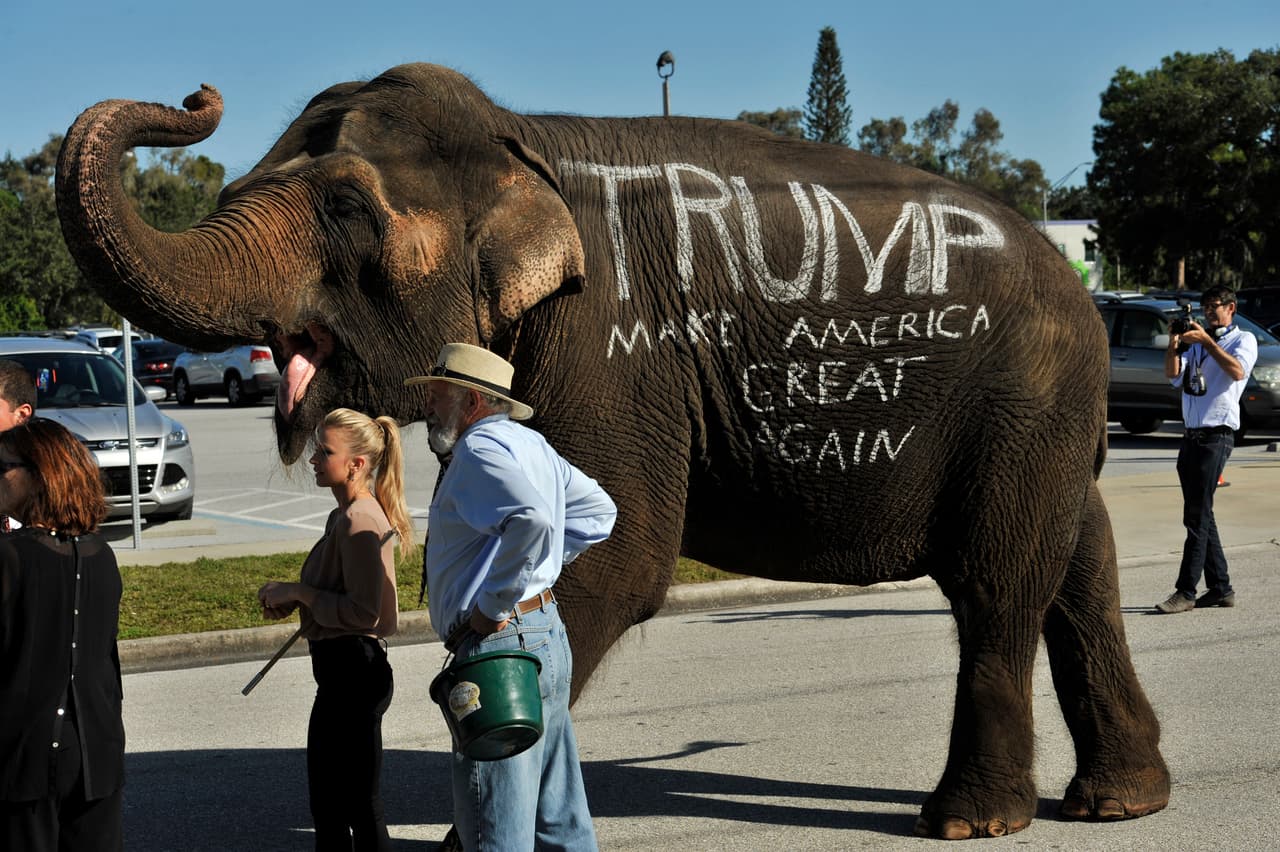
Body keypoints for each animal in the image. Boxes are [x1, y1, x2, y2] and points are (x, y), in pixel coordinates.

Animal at [56, 63, 1169, 839]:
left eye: (345, 209)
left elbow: (617, 556)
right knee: (1081, 565)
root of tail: (1080, 285)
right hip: (1046, 423)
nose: (198, 94)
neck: (522, 140)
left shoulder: (617, 347)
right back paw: (1120, 801)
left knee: (996, 585)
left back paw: (971, 820)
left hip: (1022, 403)